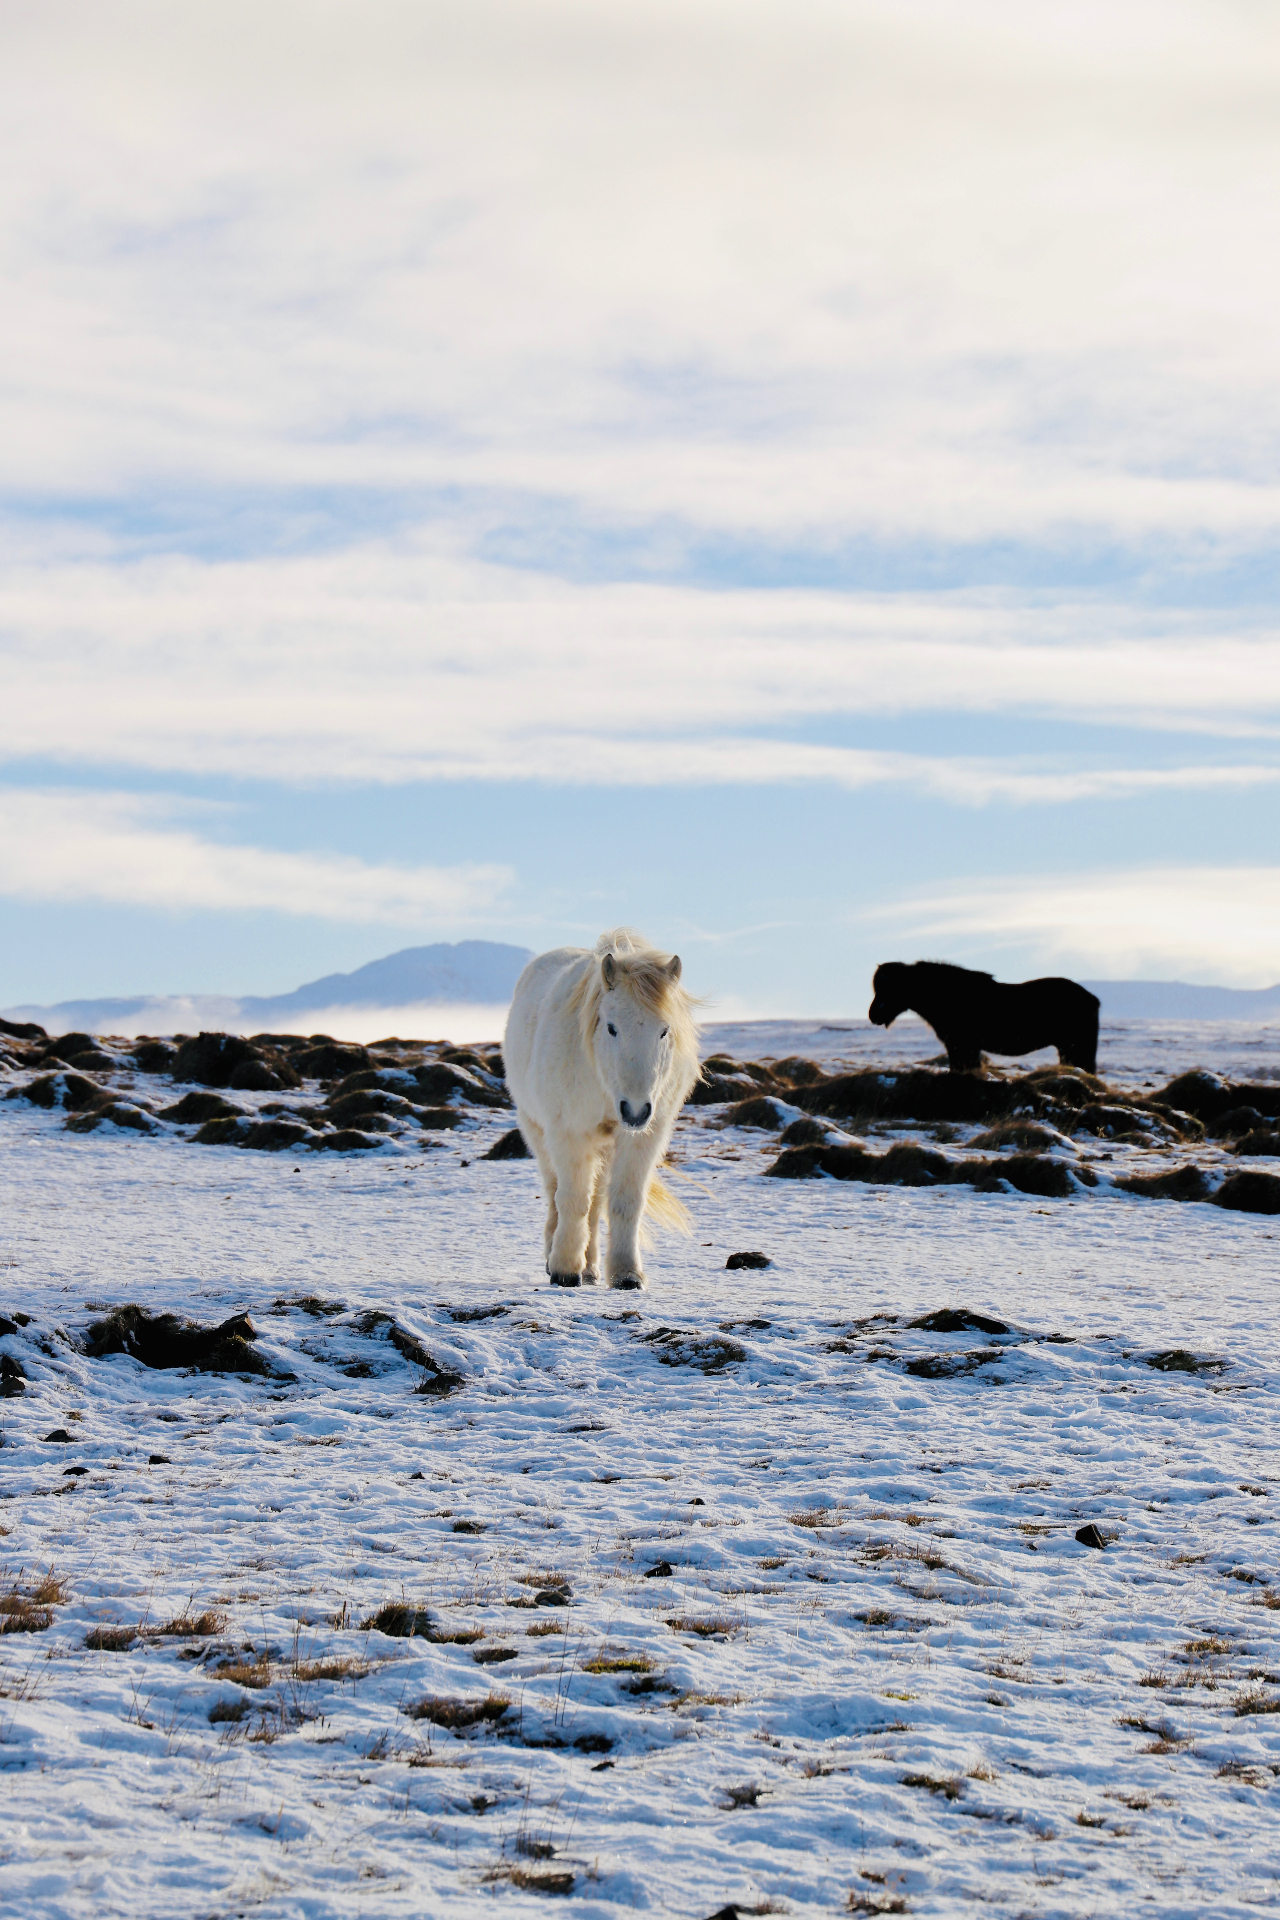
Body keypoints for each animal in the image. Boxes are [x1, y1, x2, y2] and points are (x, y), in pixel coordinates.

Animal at [504, 929, 701, 1288]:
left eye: (664, 1030)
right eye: (611, 1027)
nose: (635, 1111)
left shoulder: (642, 1139)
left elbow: (624, 1202)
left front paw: (626, 1273)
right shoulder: (568, 1133)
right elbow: (572, 1200)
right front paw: (564, 1269)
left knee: (597, 1202)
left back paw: (591, 1267)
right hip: (537, 1131)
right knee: (556, 1192)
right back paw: (556, 1258)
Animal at [868, 961, 1100, 1074]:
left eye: (890, 986)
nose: (873, 1014)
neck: (946, 994)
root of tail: (1092, 999)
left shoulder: (963, 1046)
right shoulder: (960, 1048)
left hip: (1075, 1049)